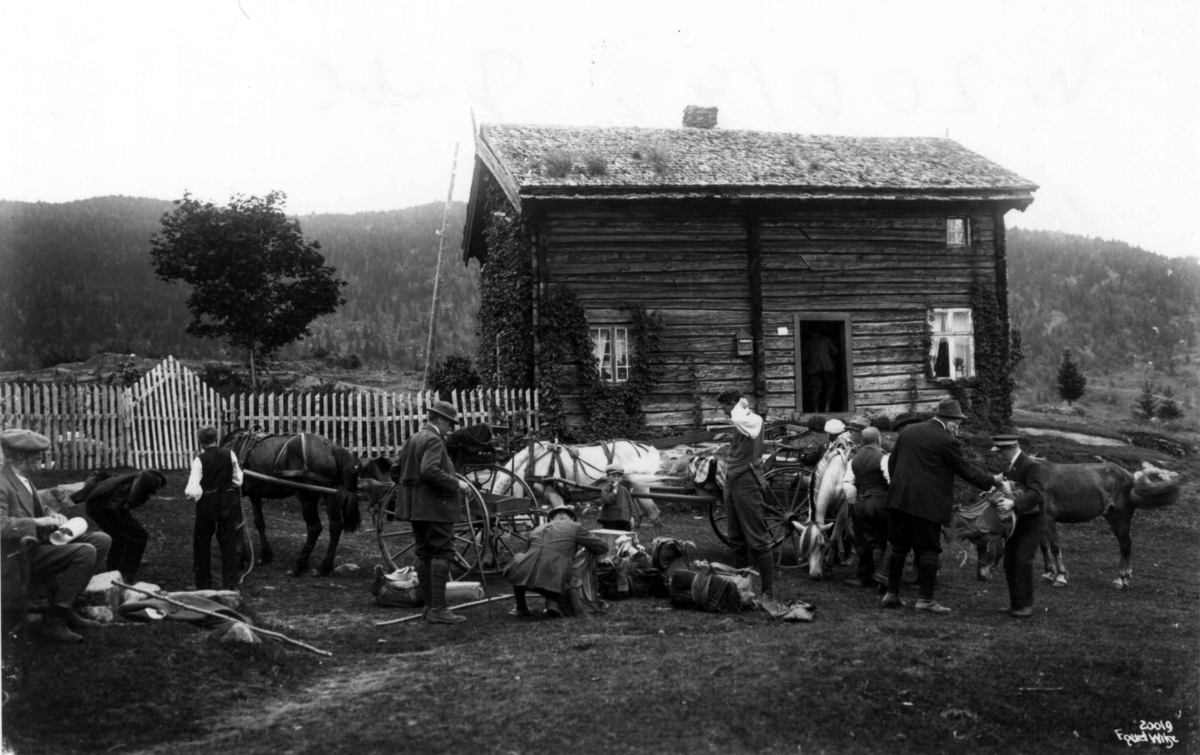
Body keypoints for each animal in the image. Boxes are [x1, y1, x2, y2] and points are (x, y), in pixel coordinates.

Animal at [220, 427, 360, 573]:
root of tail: (332, 447)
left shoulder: (235, 493)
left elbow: (237, 524)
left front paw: (240, 557)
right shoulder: (255, 494)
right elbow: (259, 523)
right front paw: (265, 554)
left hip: (306, 496)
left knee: (314, 528)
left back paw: (299, 565)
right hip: (331, 494)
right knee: (335, 526)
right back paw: (324, 567)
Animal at [506, 439, 667, 532]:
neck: (534, 463)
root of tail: (642, 448)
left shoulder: (554, 494)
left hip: (641, 487)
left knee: (655, 516)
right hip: (629, 488)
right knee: (638, 517)